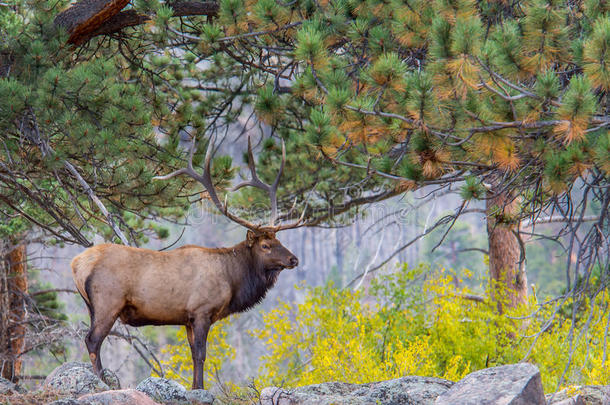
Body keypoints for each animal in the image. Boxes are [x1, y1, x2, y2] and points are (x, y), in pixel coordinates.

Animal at [71, 136, 304, 388]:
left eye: (278, 240)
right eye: (265, 245)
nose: (294, 258)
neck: (232, 279)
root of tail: (77, 264)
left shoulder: (187, 319)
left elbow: (193, 354)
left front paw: (194, 386)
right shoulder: (202, 310)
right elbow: (201, 354)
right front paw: (200, 388)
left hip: (91, 306)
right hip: (108, 301)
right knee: (92, 340)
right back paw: (99, 381)